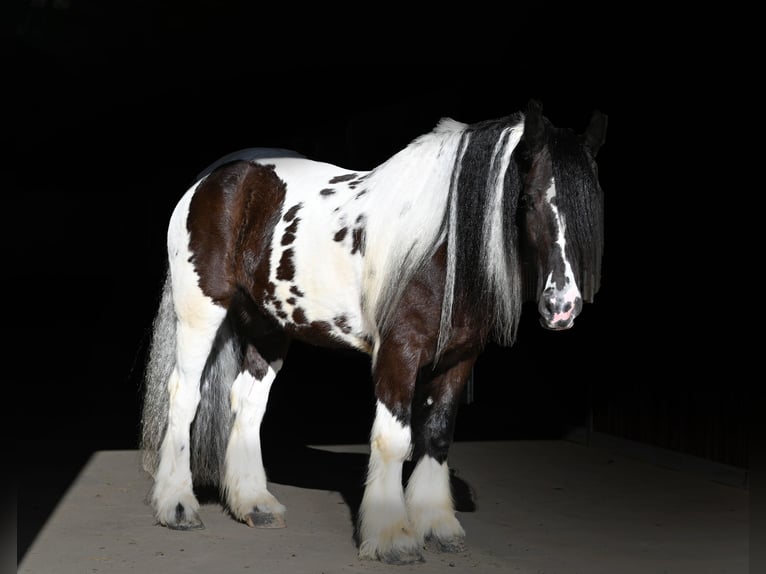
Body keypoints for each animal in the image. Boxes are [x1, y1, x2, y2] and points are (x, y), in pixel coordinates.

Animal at [138, 99, 608, 568]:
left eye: (593, 205)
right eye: (527, 199)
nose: (562, 306)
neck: (443, 247)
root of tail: (213, 178)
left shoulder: (458, 358)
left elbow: (437, 436)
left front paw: (438, 526)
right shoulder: (399, 352)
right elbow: (393, 440)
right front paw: (393, 536)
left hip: (267, 324)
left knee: (248, 401)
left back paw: (255, 503)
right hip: (201, 310)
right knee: (184, 394)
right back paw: (178, 506)